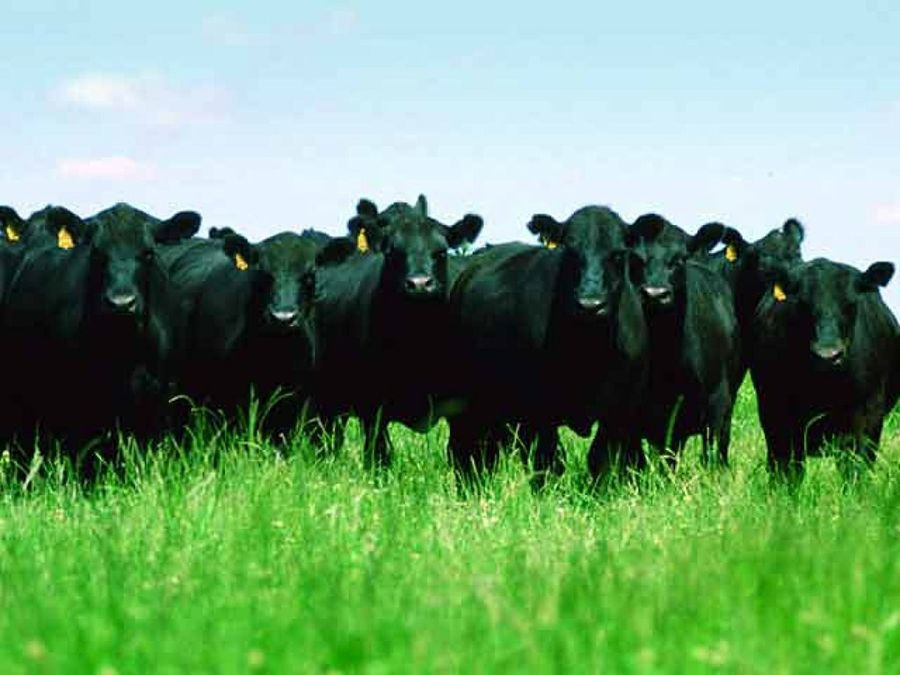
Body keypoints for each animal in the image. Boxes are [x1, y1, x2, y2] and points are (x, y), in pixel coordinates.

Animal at [312, 195, 483, 467]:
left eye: (441, 251)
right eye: (392, 251)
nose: (420, 284)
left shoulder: (464, 409)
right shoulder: (372, 408)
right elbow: (379, 456)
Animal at [445, 205, 648, 484]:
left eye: (618, 254)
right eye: (570, 251)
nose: (590, 304)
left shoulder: (618, 411)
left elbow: (602, 460)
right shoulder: (538, 412)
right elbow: (548, 464)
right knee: (466, 451)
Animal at [749, 258, 898, 480]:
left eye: (851, 303)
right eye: (802, 304)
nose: (828, 355)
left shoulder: (868, 413)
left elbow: (856, 467)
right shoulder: (775, 411)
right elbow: (786, 471)